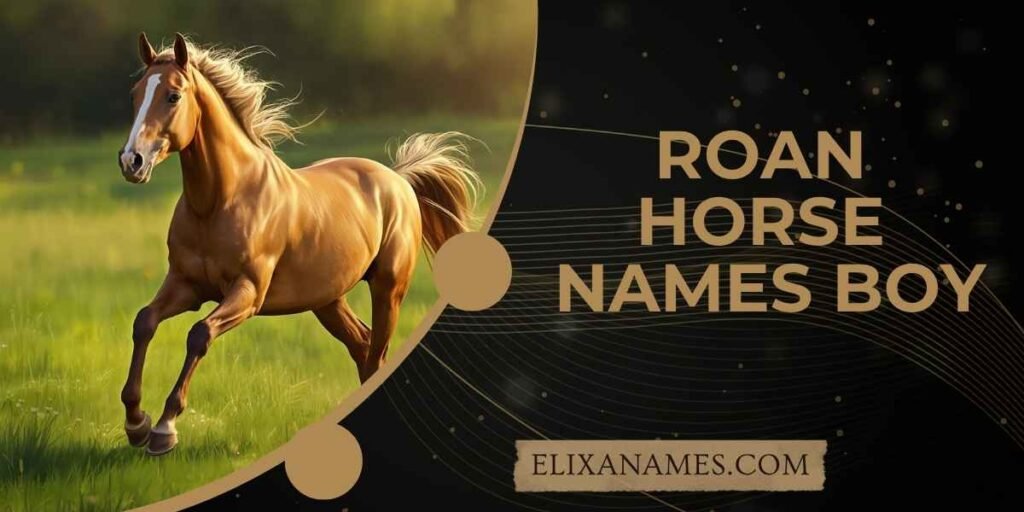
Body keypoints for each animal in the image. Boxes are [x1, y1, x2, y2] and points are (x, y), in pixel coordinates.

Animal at [117, 33, 481, 455]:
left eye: (173, 95)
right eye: (135, 93)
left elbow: (199, 335)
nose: (132, 161)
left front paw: (164, 429)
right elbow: (144, 322)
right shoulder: (186, 285)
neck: (220, 201)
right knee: (363, 347)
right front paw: (136, 424)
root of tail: (399, 179)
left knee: (376, 354)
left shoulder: (248, 292)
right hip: (328, 301)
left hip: (388, 290)